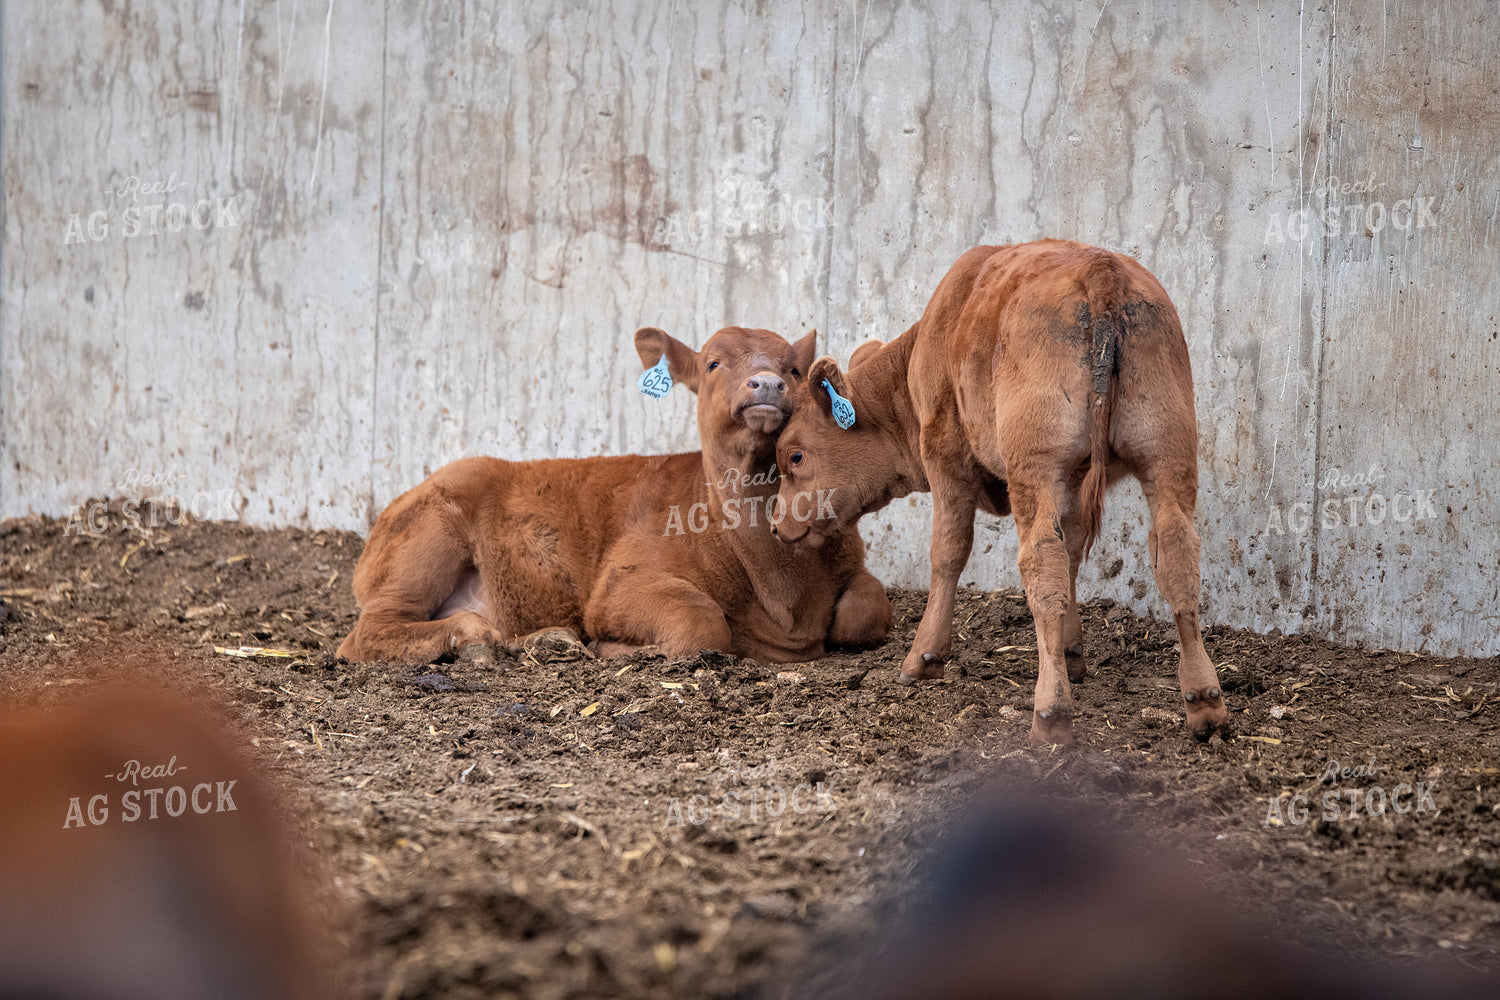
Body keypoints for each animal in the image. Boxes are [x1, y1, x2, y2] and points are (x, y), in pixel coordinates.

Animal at [338, 326, 891, 665]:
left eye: (793, 369)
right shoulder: (618, 584)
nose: (768, 383)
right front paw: (624, 650)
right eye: (714, 363)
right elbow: (702, 624)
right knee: (367, 632)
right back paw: (473, 638)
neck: (783, 596)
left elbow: (869, 607)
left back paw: (546, 639)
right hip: (427, 535)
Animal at [769, 240, 1228, 744]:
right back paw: (1205, 700)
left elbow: (948, 553)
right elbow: (1071, 556)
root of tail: (1100, 268)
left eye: (794, 457)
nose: (775, 524)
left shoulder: (946, 459)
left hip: (1036, 465)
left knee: (1040, 559)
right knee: (1175, 552)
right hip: (1166, 457)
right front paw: (1071, 653)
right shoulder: (1073, 483)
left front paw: (924, 657)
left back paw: (1051, 710)